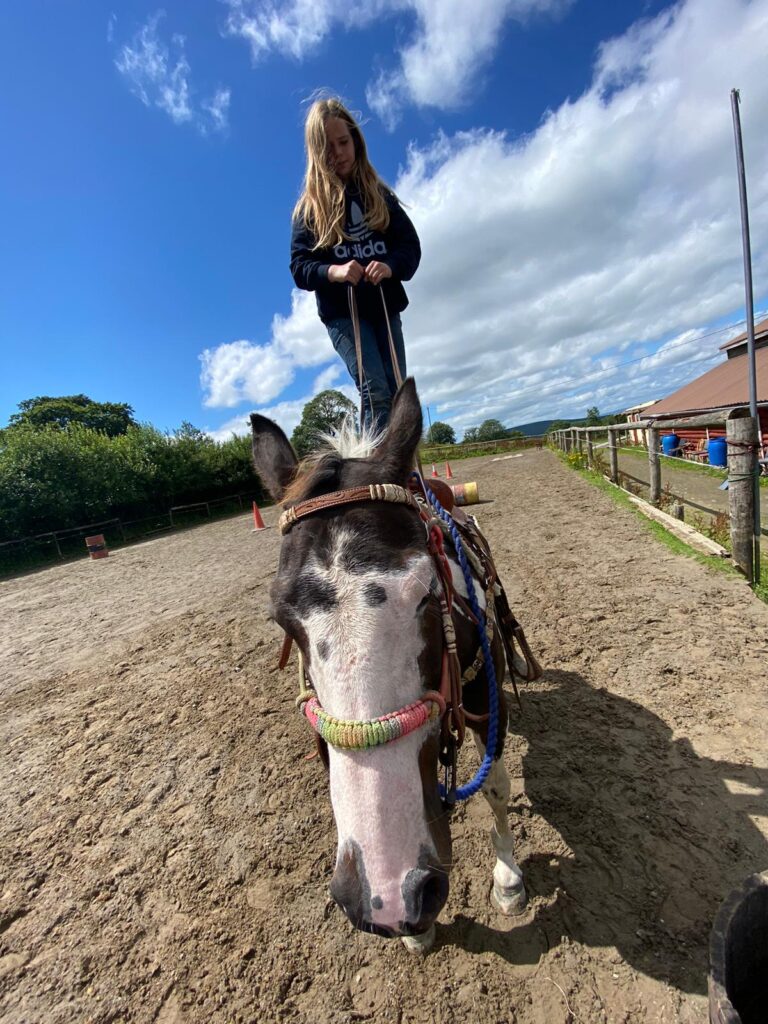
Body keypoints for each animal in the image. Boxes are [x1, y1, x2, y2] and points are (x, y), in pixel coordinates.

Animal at [250, 378, 540, 953]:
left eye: (426, 591)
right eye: (281, 617)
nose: (387, 891)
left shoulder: (482, 693)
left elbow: (496, 785)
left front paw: (508, 880)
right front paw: (417, 931)